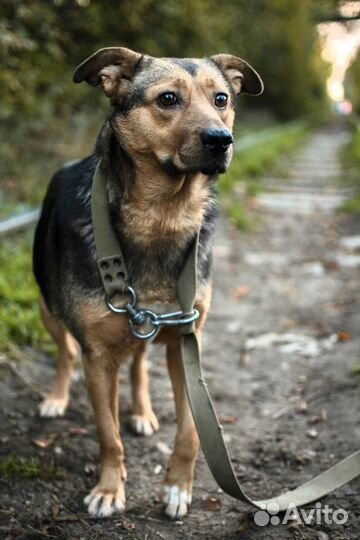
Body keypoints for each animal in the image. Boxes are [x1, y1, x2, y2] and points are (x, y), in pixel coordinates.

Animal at [33, 47, 264, 520]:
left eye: (221, 99)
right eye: (168, 98)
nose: (221, 140)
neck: (164, 216)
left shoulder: (187, 340)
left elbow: (191, 429)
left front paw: (177, 486)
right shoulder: (97, 356)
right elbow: (108, 434)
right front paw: (108, 490)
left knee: (138, 363)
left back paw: (141, 411)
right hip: (48, 307)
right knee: (66, 353)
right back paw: (57, 398)